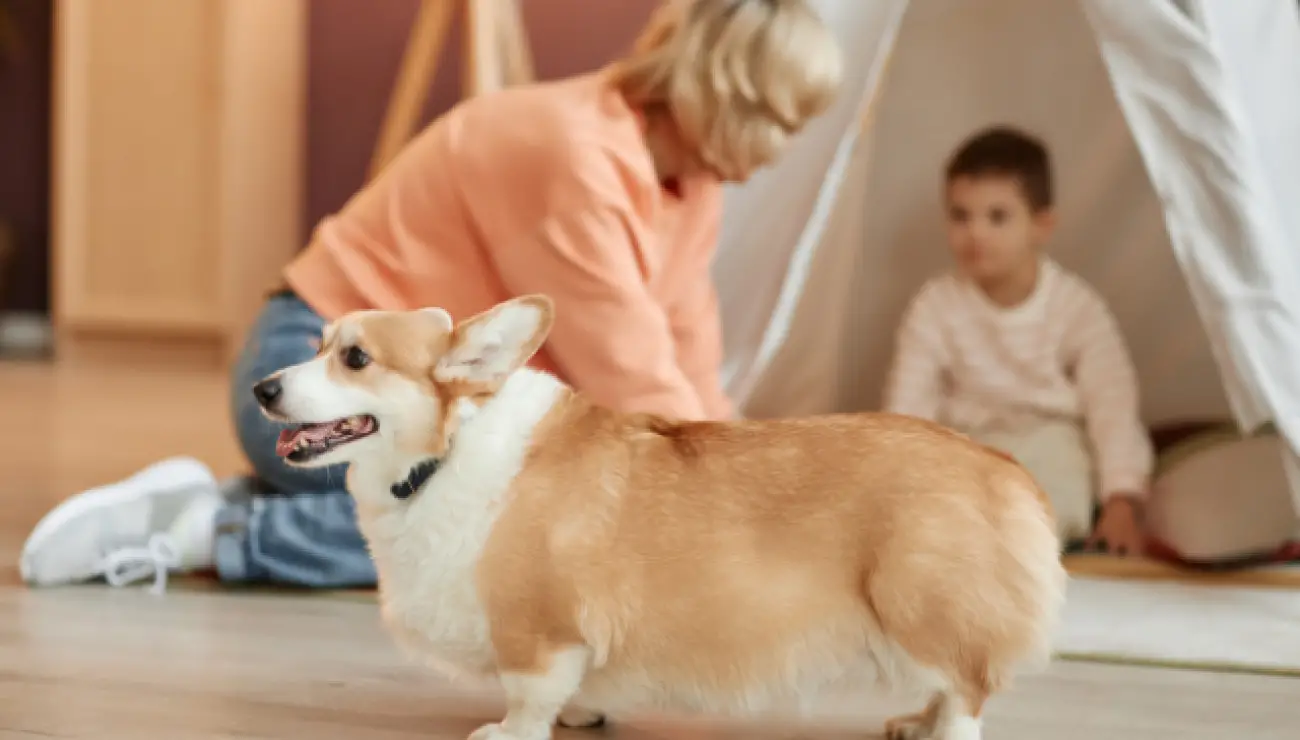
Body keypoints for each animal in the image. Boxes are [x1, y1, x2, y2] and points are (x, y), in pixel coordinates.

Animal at [250, 293, 1066, 738]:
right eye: (320, 345)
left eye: (356, 358)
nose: (262, 388)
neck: (448, 453)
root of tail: (1003, 468)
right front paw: (582, 713)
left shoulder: (537, 629)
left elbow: (528, 694)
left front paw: (511, 731)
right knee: (948, 683)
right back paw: (915, 721)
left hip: (914, 601)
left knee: (966, 689)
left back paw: (944, 732)